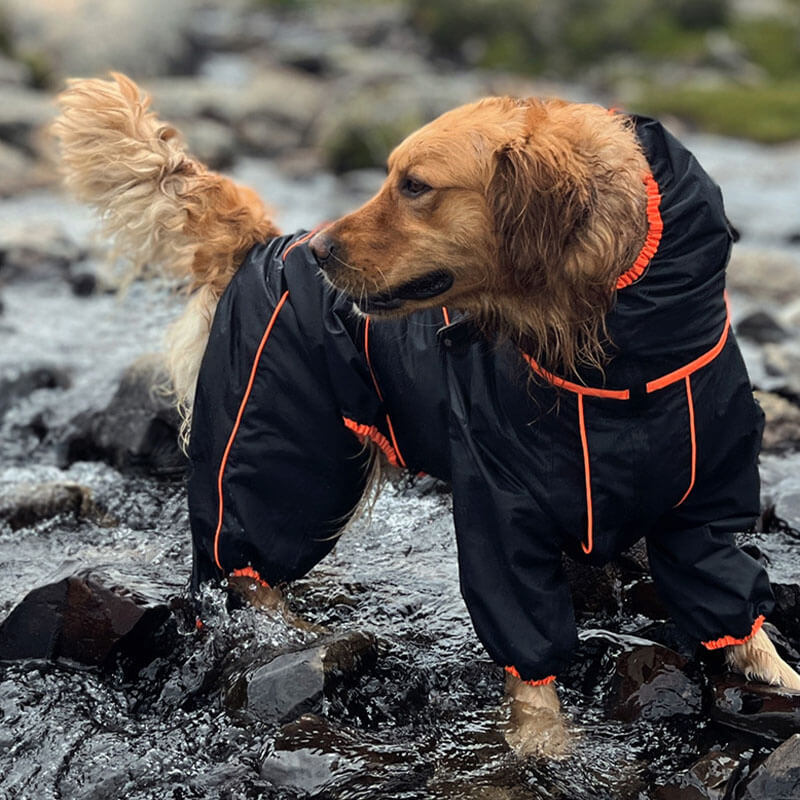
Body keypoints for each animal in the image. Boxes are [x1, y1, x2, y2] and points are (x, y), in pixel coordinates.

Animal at [51, 73, 800, 756]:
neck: (612, 365)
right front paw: (544, 748)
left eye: (414, 186)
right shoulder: (501, 511)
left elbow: (726, 591)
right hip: (283, 458)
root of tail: (268, 242)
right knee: (243, 563)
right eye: (392, 178)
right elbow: (527, 647)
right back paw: (293, 638)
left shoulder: (704, 508)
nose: (320, 252)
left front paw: (776, 674)